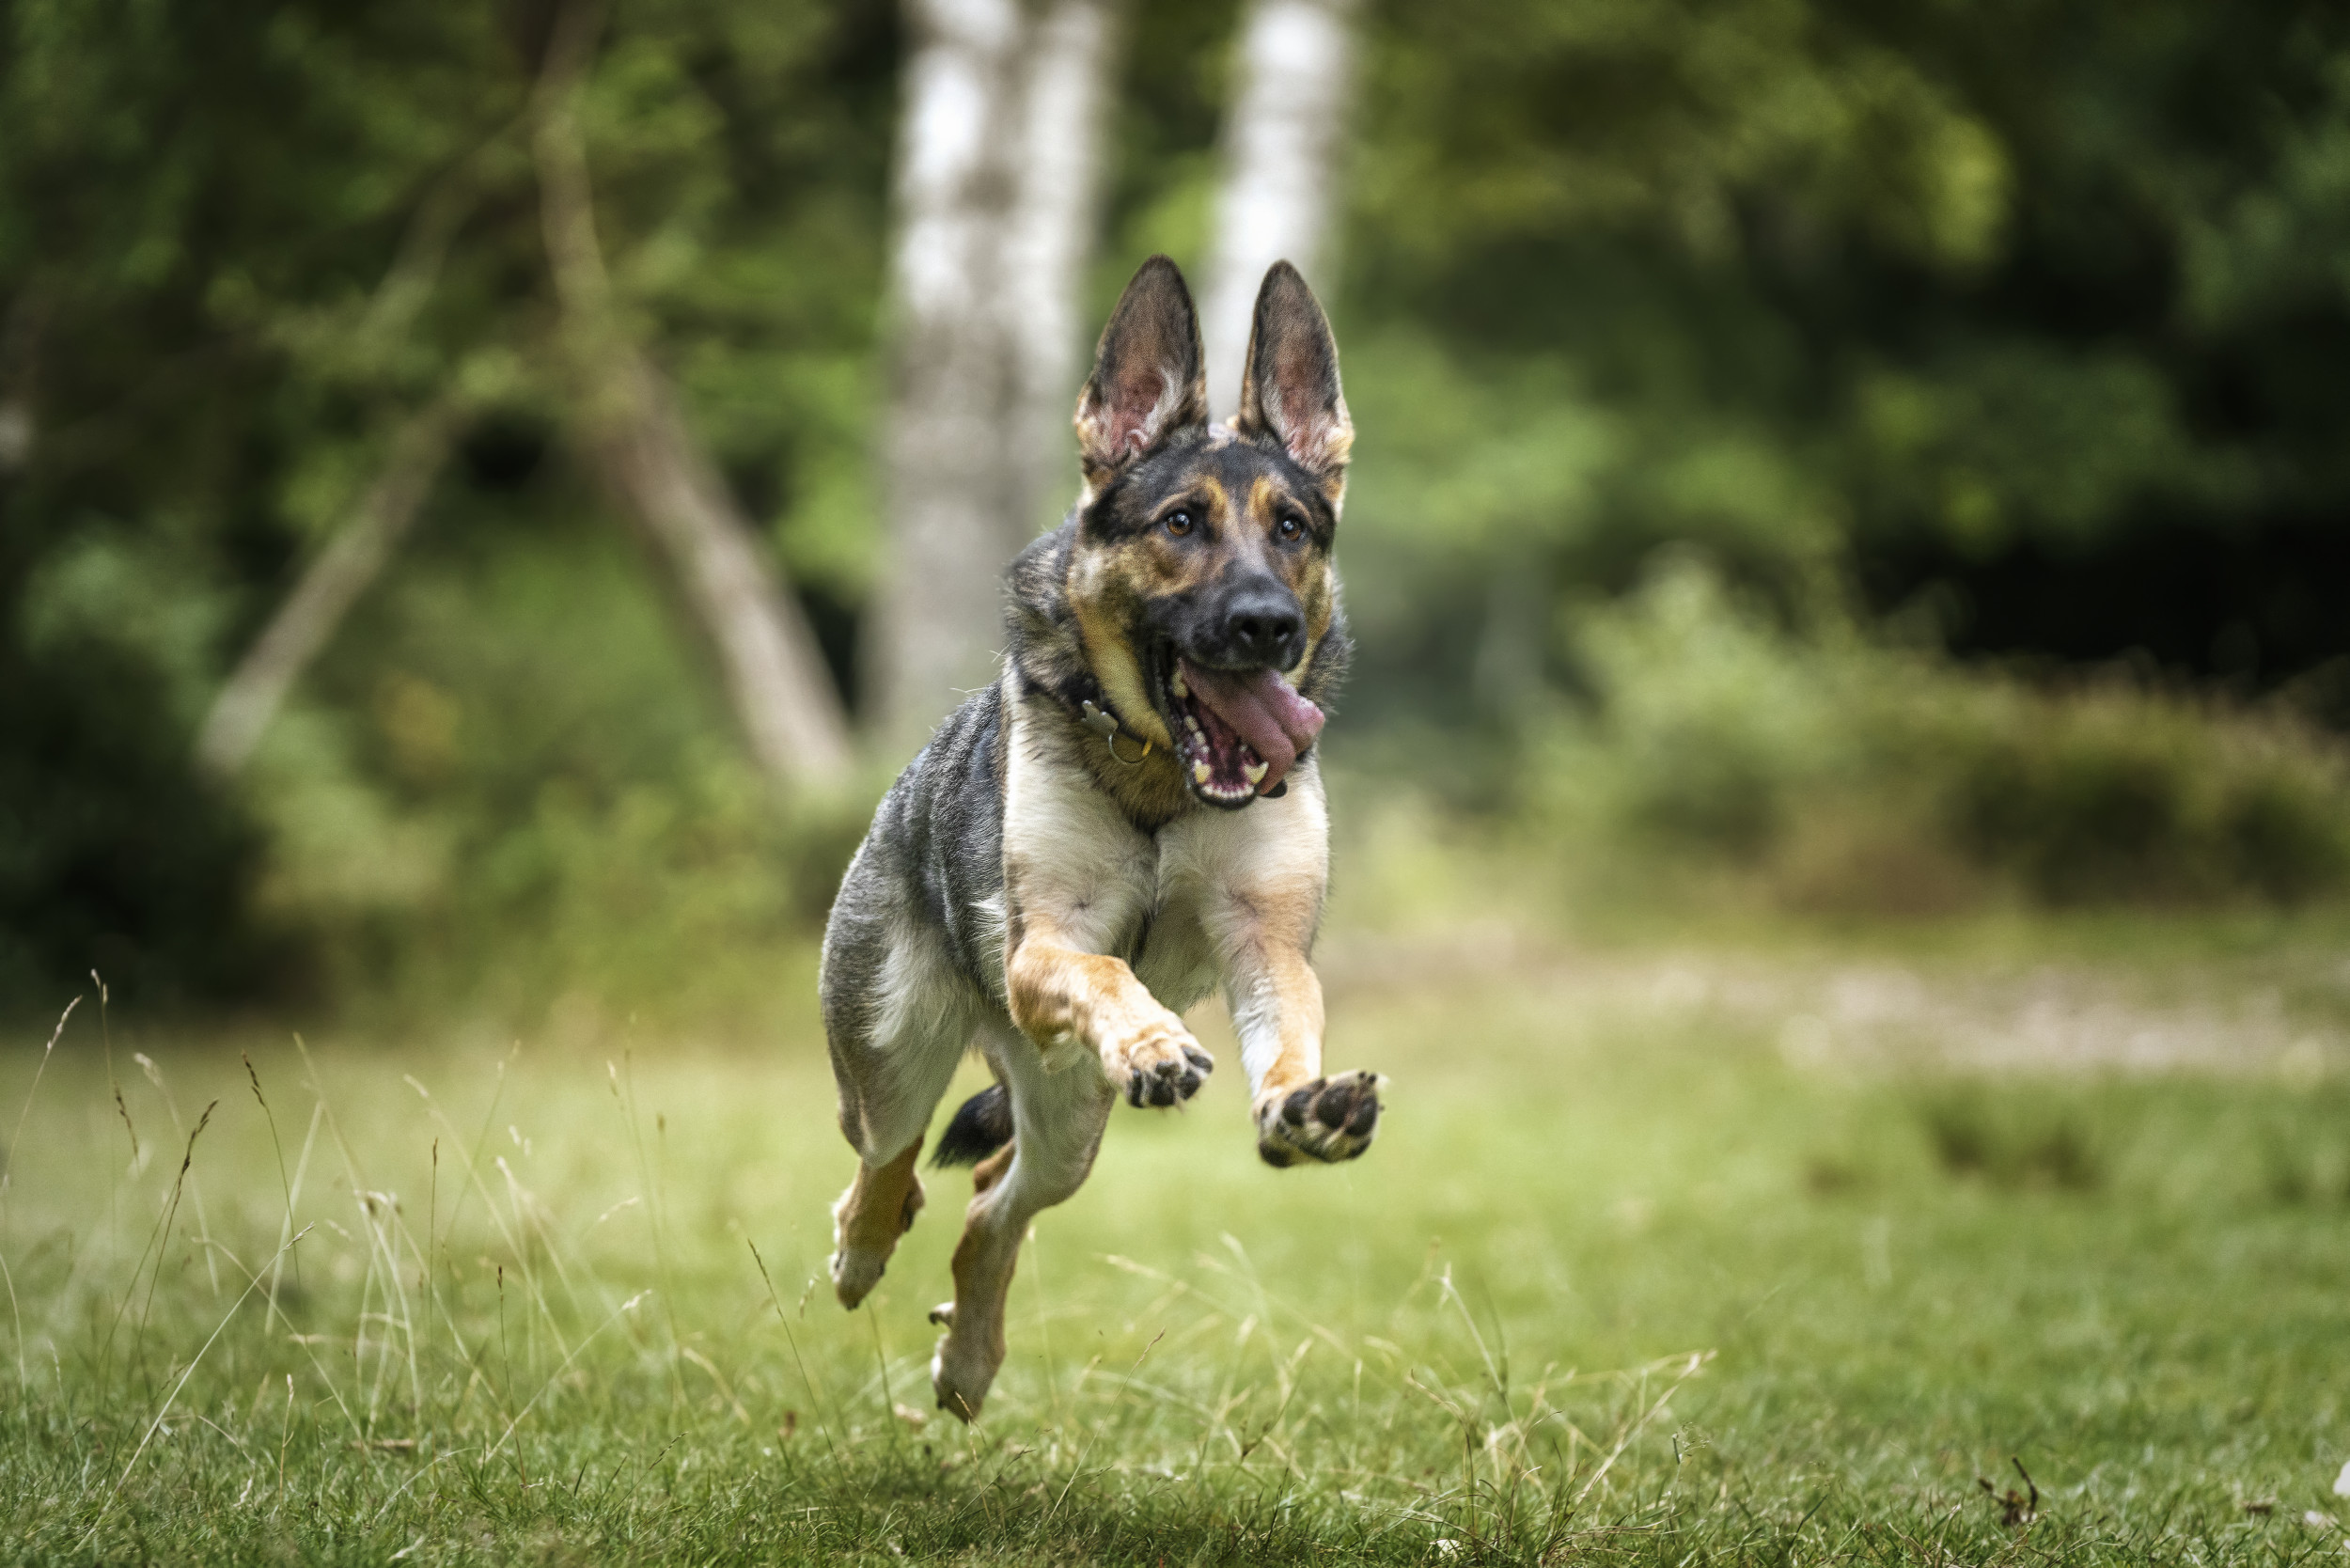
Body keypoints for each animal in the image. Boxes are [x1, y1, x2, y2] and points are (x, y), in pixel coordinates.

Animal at [822, 255, 1382, 1419]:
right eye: (1179, 523)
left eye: (1292, 530)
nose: (1269, 626)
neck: (1165, 774)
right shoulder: (1046, 946)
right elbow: (1107, 972)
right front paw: (1154, 1041)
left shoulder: (1265, 946)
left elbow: (1289, 1028)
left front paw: (1303, 1106)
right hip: (893, 1051)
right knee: (886, 1162)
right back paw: (861, 1251)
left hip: (1067, 1122)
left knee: (991, 1201)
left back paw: (968, 1358)